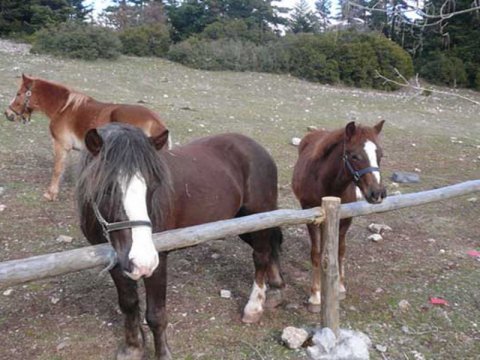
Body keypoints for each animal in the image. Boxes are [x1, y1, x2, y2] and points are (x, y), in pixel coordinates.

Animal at [4, 74, 167, 201]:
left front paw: (51, 194)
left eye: (19, 93)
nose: (7, 114)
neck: (63, 108)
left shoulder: (61, 145)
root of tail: (156, 122)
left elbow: (58, 169)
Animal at [288, 121, 386, 312]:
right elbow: (315, 254)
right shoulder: (311, 216)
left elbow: (341, 250)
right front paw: (315, 295)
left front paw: (340, 287)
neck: (329, 185)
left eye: (380, 155)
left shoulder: (346, 218)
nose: (377, 193)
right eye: (354, 156)